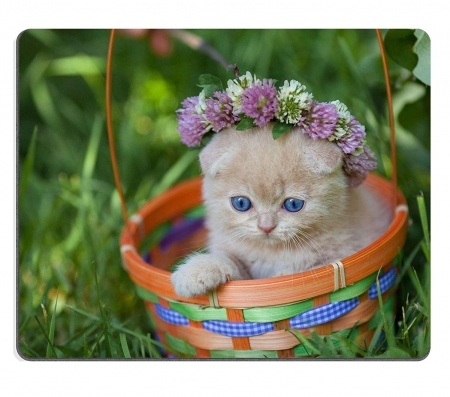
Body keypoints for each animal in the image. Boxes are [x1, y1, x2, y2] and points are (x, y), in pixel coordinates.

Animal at [171, 124, 392, 296]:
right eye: (241, 203)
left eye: (293, 205)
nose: (266, 227)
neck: (272, 252)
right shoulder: (242, 268)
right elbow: (230, 262)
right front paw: (196, 272)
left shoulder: (343, 253)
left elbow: (295, 274)